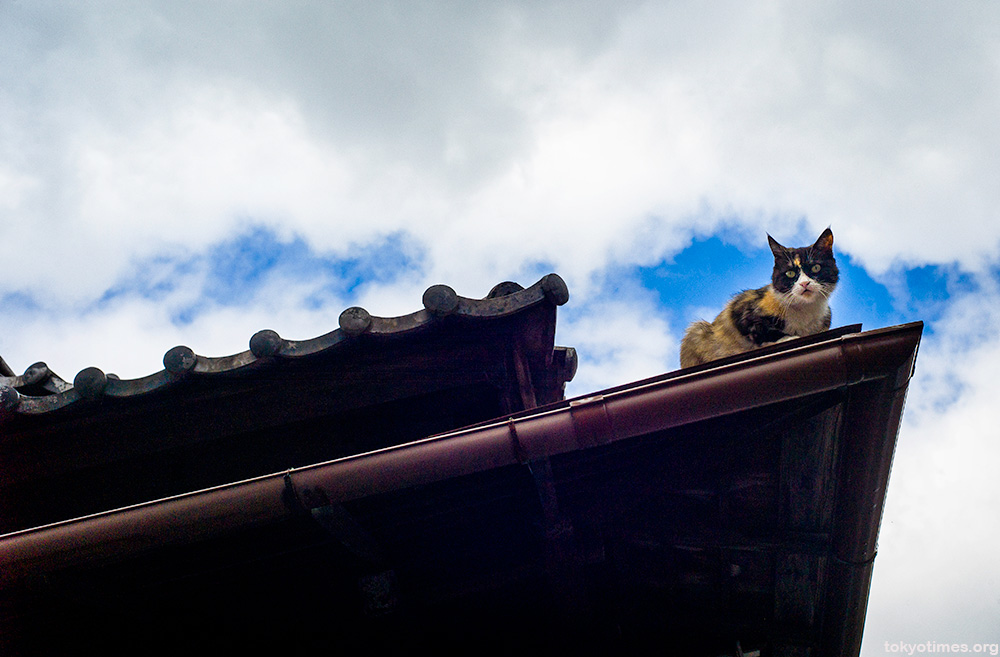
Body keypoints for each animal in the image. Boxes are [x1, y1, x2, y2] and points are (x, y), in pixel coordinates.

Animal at [680, 228, 836, 366]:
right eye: (790, 273)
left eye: (816, 268)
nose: (804, 283)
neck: (805, 310)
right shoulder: (740, 309)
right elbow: (763, 330)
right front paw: (789, 337)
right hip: (696, 329)